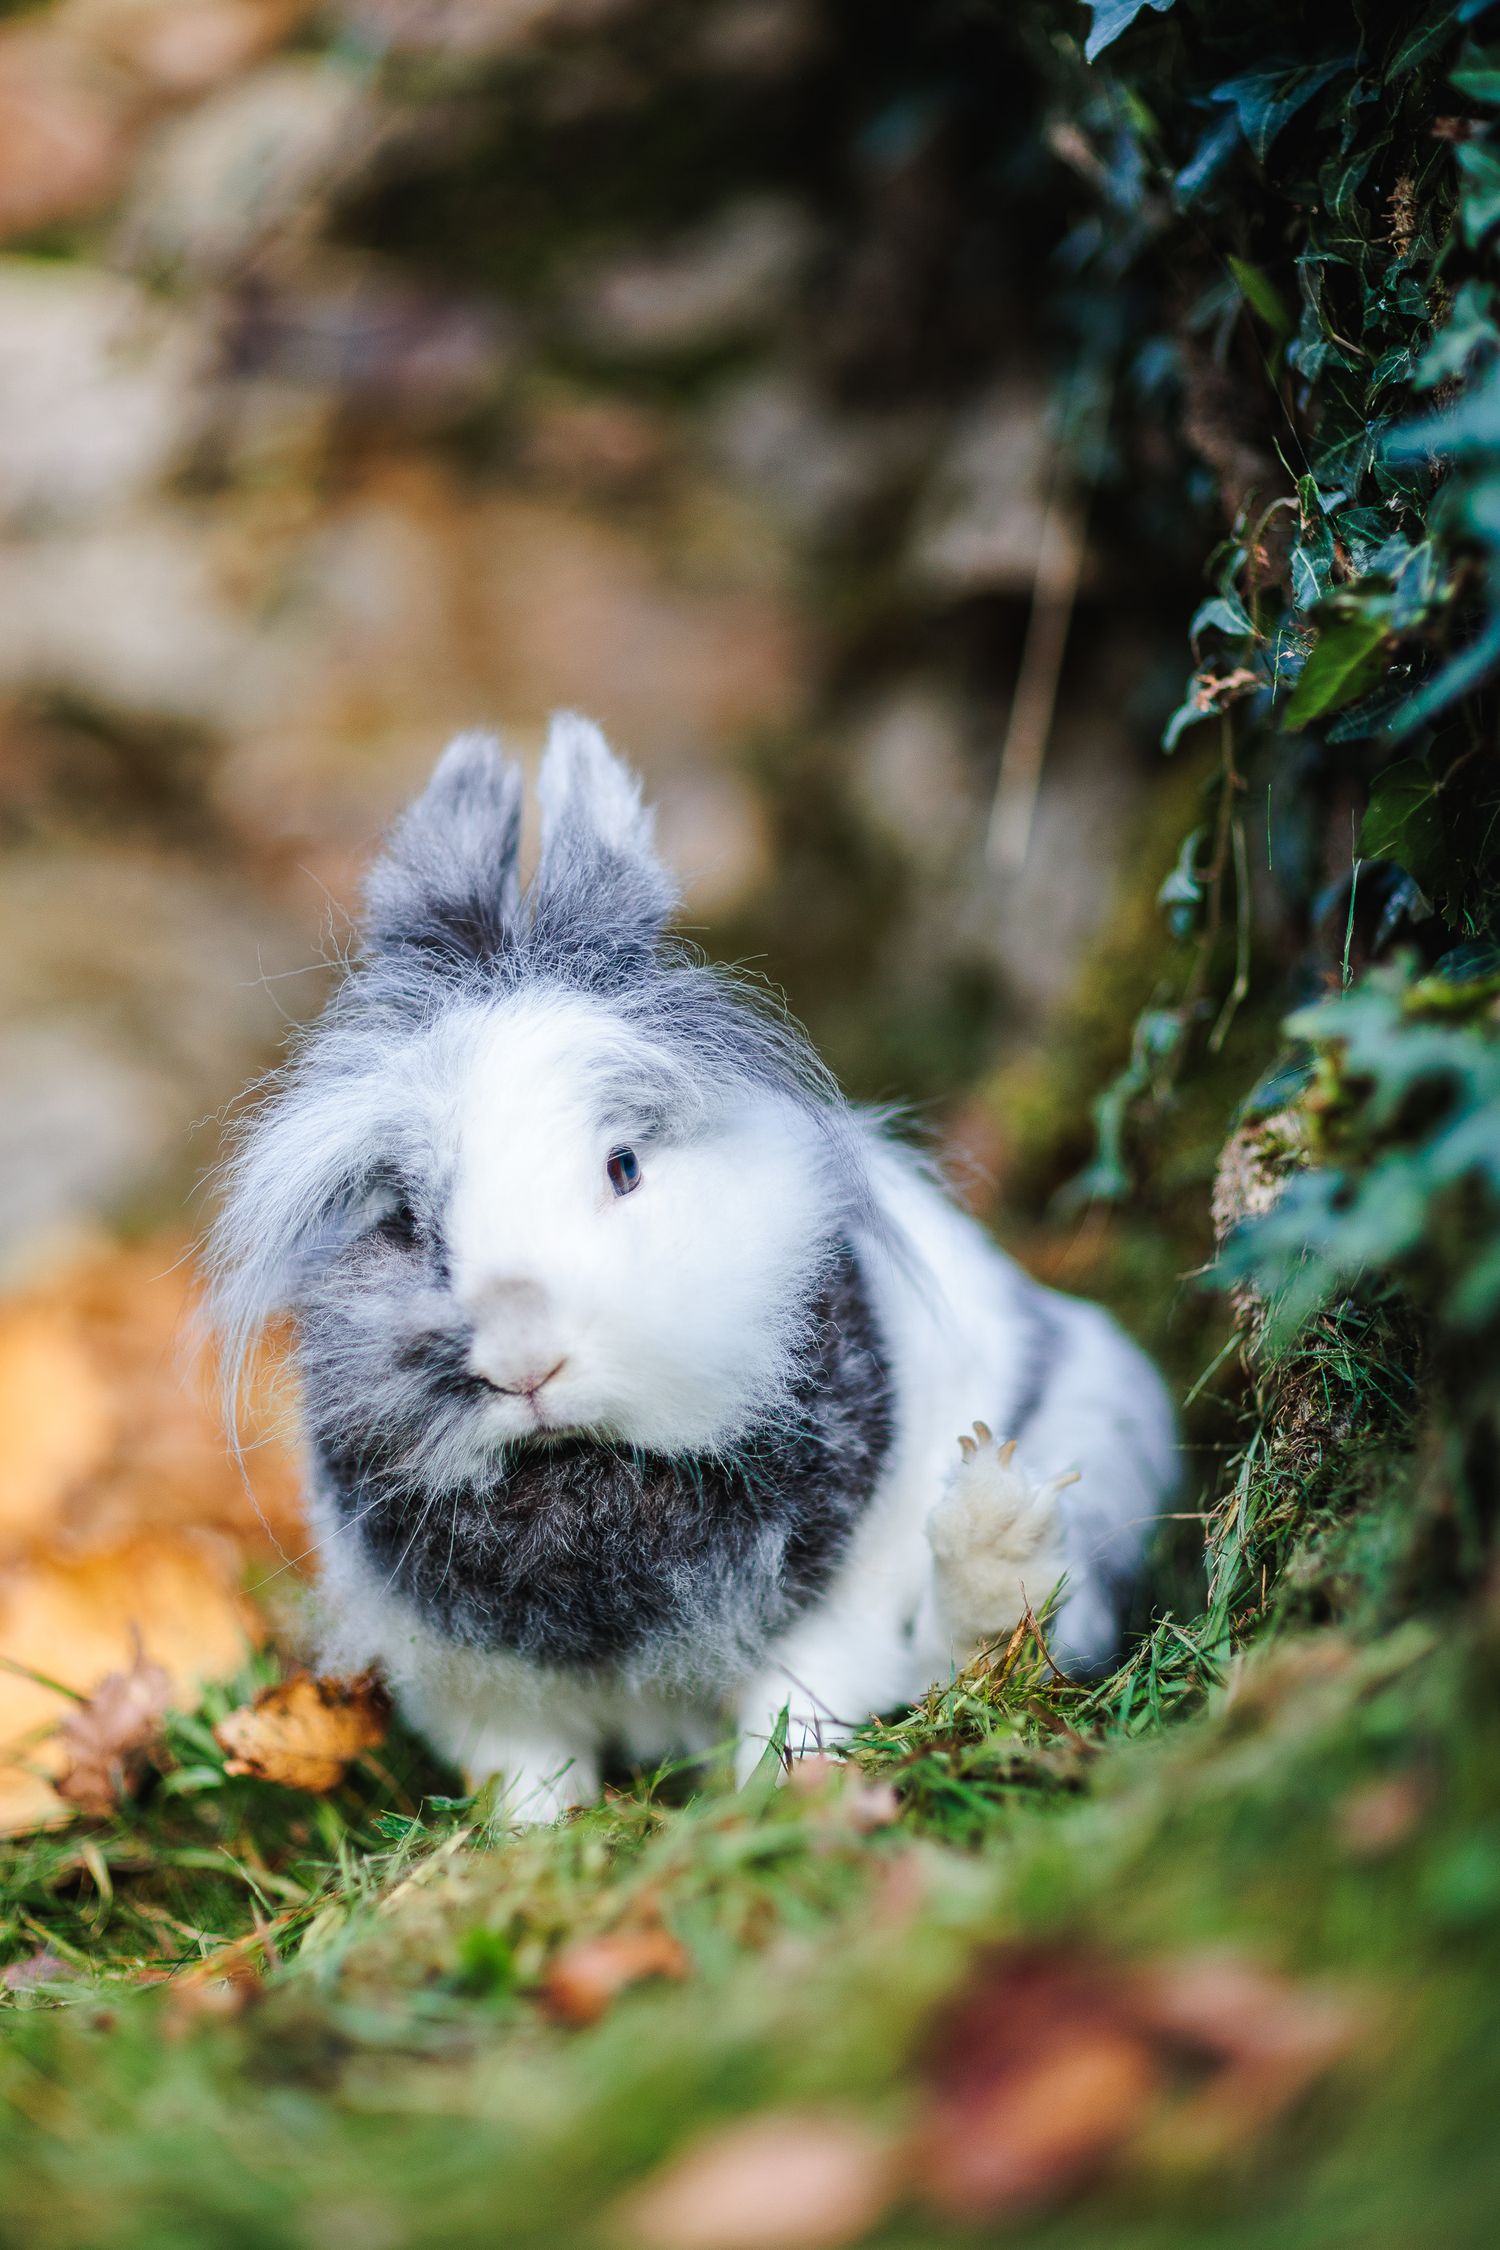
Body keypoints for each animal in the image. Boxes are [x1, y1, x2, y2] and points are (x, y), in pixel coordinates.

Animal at [210, 714, 1178, 1820]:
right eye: (407, 1221)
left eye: (624, 1166)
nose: (523, 1359)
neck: (582, 1474)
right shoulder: (479, 1692)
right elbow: (529, 1775)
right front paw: (536, 1840)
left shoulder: (830, 1618)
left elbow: (798, 1709)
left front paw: (770, 1802)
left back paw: (995, 1528)